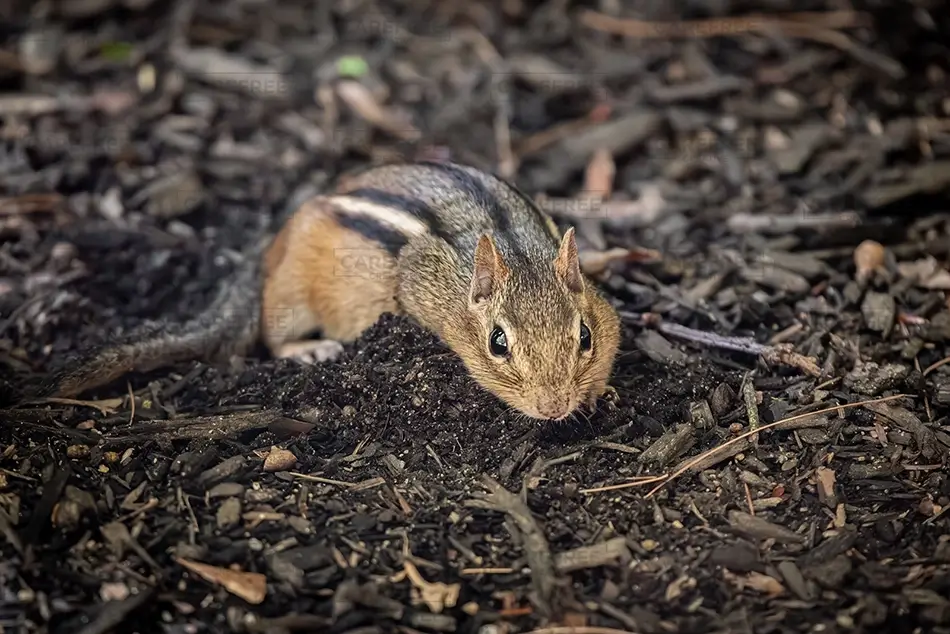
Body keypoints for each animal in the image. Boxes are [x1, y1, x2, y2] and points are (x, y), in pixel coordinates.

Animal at [39, 161, 622, 421]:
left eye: (585, 337)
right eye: (498, 344)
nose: (553, 409)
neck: (517, 252)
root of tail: (273, 242)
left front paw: (596, 391)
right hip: (291, 298)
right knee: (273, 338)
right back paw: (311, 348)